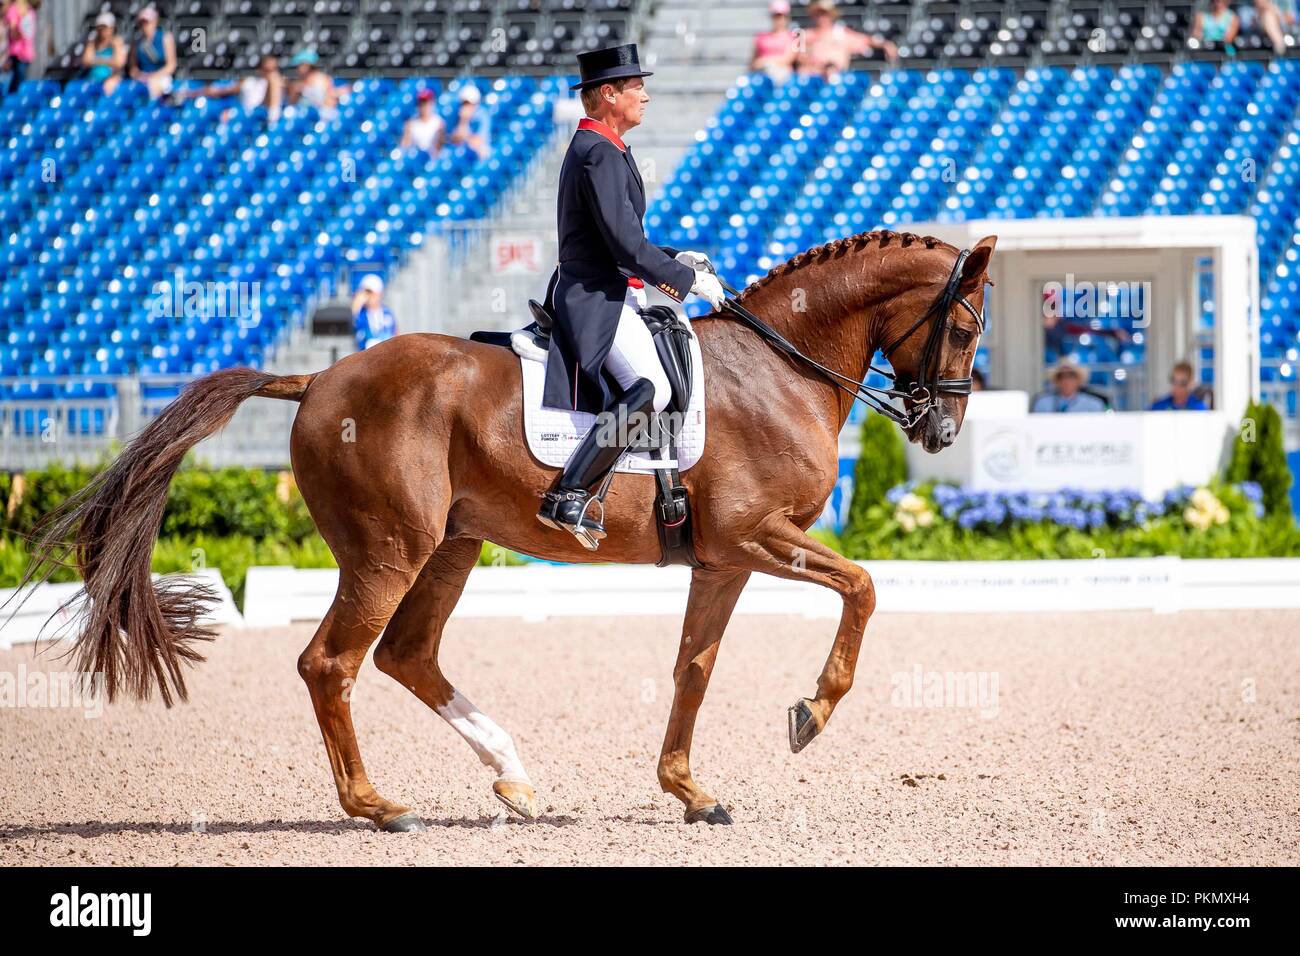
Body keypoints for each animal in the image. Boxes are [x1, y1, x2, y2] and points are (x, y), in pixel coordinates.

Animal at [17, 231, 993, 832]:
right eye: (965, 326)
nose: (941, 433)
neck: (780, 367)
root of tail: (320, 380)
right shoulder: (759, 534)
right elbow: (864, 586)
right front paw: (810, 714)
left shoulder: (722, 559)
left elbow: (693, 669)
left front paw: (689, 791)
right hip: (390, 549)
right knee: (331, 662)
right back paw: (379, 806)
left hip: (452, 544)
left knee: (406, 654)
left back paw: (513, 775)